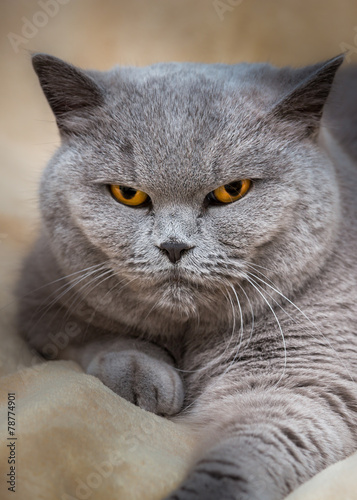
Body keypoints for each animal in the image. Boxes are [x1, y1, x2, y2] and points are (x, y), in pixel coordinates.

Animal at [16, 51, 356, 500]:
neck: (187, 332)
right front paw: (143, 378)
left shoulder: (306, 381)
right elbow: (95, 335)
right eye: (128, 195)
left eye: (233, 190)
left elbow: (246, 451)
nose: (174, 246)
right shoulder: (42, 298)